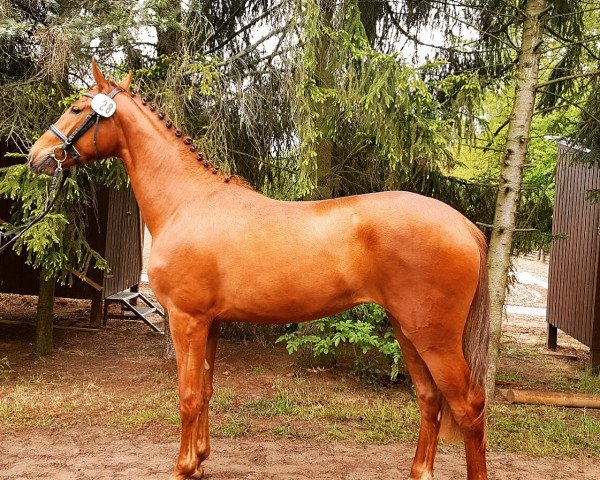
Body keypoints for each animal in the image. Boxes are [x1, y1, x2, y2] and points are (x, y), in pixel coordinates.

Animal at [27, 62, 488, 480]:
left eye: (75, 107)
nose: (36, 156)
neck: (187, 201)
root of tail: (464, 225)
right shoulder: (210, 323)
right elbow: (207, 389)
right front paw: (199, 460)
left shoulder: (186, 320)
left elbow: (188, 395)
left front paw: (182, 468)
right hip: (407, 329)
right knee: (430, 399)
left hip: (435, 339)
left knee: (468, 406)